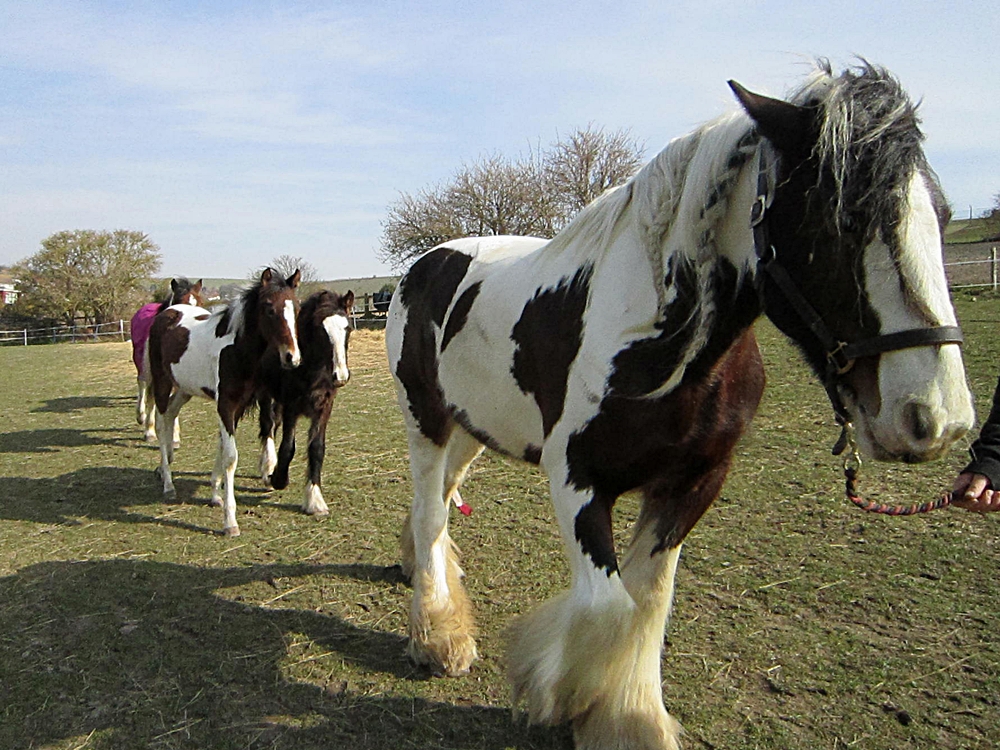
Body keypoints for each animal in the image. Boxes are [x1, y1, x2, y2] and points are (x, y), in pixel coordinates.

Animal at [131, 278, 205, 442]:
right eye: (180, 301)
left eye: (200, 303)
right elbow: (153, 397)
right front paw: (150, 431)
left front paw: (175, 435)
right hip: (142, 363)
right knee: (142, 383)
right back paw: (141, 416)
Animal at [148, 268, 302, 537]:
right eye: (269, 309)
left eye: (299, 308)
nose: (292, 357)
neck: (237, 349)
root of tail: (169, 312)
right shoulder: (226, 405)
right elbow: (230, 456)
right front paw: (230, 522)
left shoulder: (236, 406)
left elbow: (222, 445)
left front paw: (215, 494)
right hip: (162, 382)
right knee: (160, 422)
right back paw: (167, 483)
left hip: (185, 389)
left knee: (170, 416)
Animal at [256, 289, 355, 517]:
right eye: (321, 330)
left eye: (348, 328)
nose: (341, 376)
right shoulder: (291, 405)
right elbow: (288, 447)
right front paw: (278, 479)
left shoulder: (324, 407)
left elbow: (317, 448)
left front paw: (315, 499)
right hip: (266, 395)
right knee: (267, 426)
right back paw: (268, 469)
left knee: (274, 424)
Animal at [385, 62, 974, 750]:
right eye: (845, 218)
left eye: (941, 214)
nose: (936, 417)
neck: (664, 339)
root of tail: (426, 263)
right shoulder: (577, 480)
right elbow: (612, 608)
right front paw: (567, 697)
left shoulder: (694, 482)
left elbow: (649, 605)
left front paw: (624, 715)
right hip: (425, 420)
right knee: (431, 510)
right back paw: (438, 635)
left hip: (475, 426)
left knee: (439, 506)